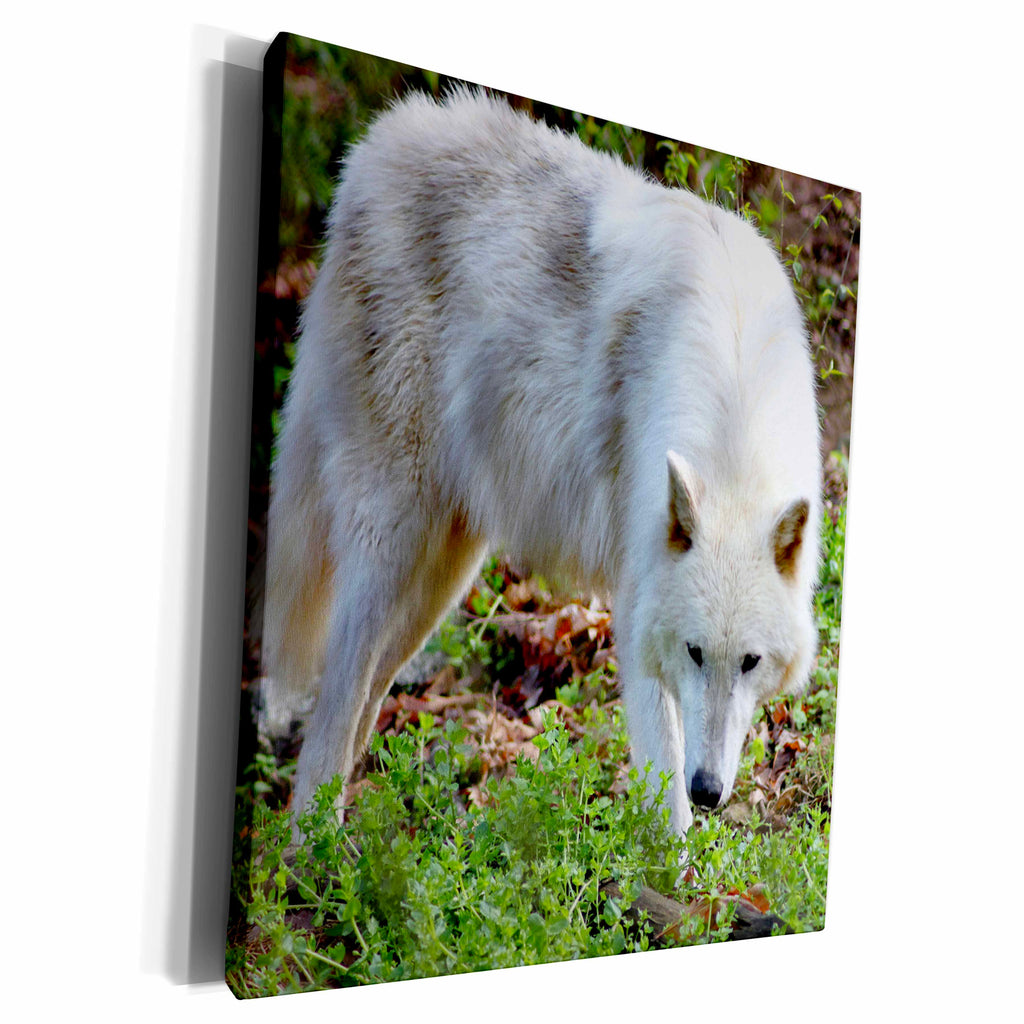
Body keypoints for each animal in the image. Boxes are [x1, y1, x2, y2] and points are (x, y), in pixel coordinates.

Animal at [263, 90, 821, 837]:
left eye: (750, 662)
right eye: (696, 653)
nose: (708, 790)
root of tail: (373, 147)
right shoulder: (638, 613)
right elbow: (664, 795)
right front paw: (676, 862)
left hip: (443, 574)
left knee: (367, 696)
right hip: (389, 547)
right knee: (330, 707)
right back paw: (311, 848)